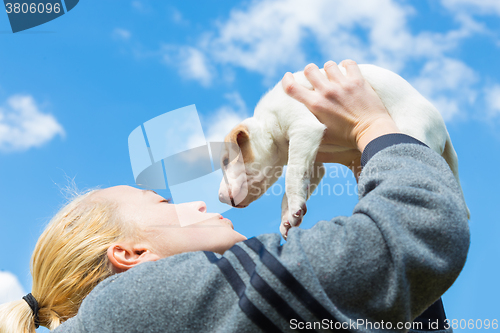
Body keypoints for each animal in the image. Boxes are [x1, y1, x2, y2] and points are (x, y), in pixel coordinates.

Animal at [219, 63, 468, 237]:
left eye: (224, 161)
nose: (219, 197)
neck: (268, 124)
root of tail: (443, 129)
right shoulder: (314, 159)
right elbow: (295, 183)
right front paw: (288, 218)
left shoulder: (303, 126)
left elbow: (291, 177)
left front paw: (293, 209)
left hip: (413, 132)